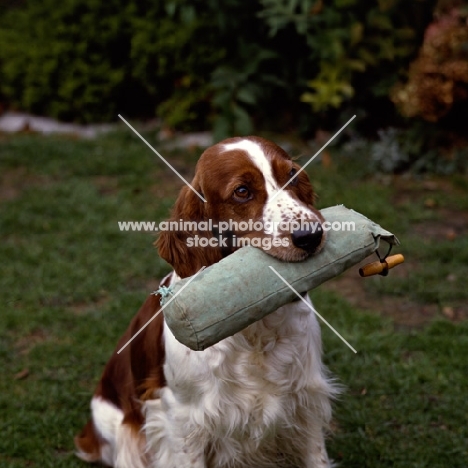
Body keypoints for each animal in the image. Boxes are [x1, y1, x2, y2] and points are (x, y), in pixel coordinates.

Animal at [76, 136, 340, 468]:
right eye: (242, 191)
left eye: (292, 174)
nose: (310, 236)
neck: (254, 326)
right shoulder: (183, 420)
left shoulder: (305, 397)